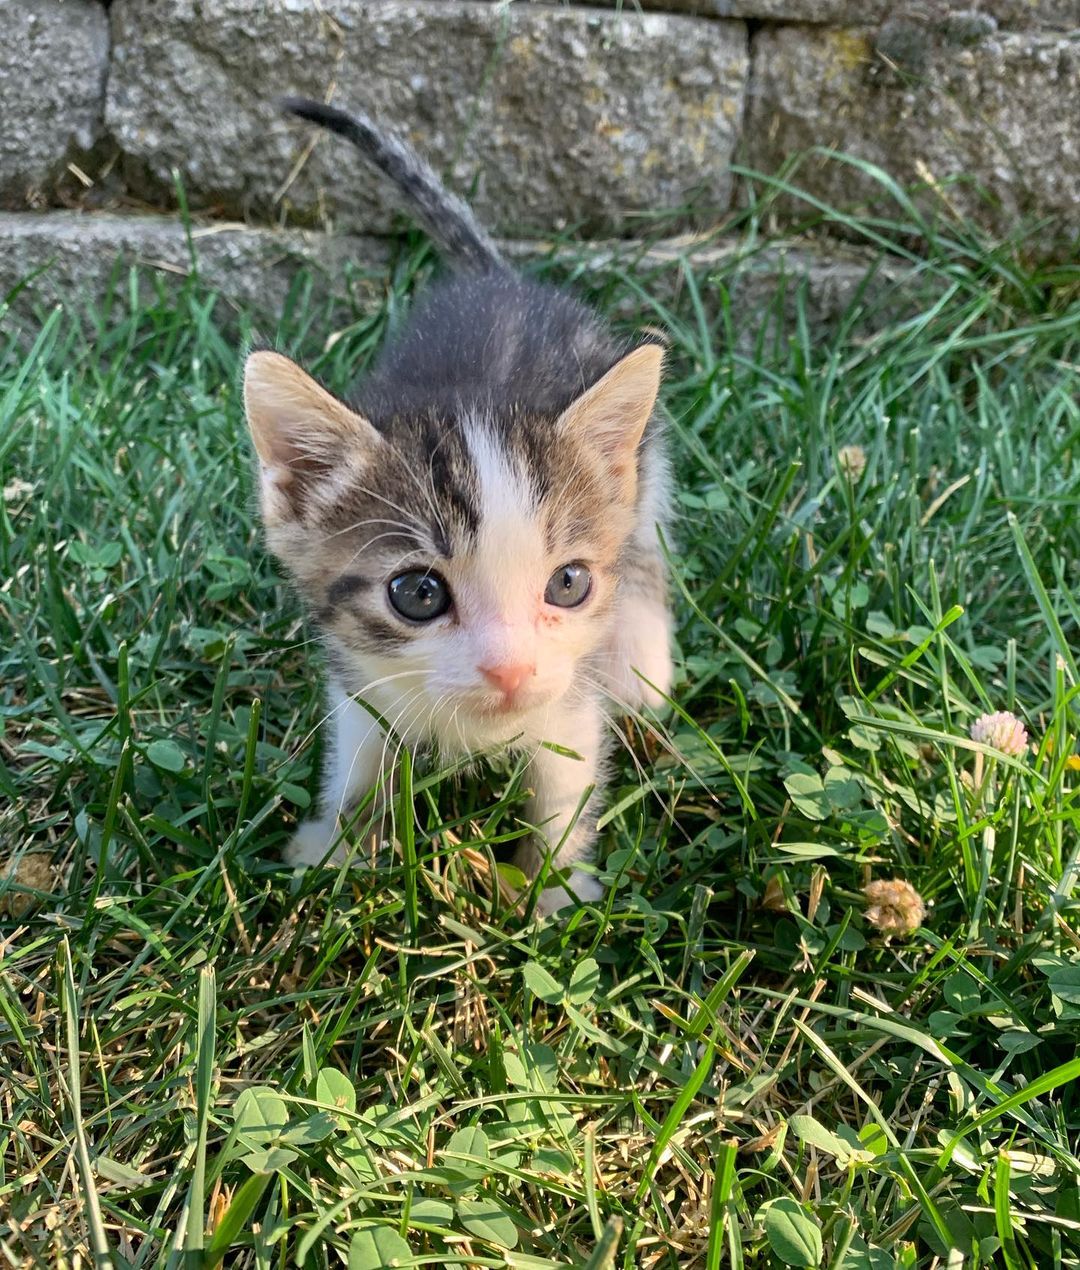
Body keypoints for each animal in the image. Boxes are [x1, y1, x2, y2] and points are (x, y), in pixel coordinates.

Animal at [240, 99, 670, 914]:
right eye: (417, 593)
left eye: (569, 584)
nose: (511, 672)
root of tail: (501, 280)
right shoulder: (362, 679)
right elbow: (361, 760)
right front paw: (335, 851)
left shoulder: (568, 698)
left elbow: (563, 784)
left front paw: (553, 893)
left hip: (649, 465)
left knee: (650, 543)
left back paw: (644, 663)